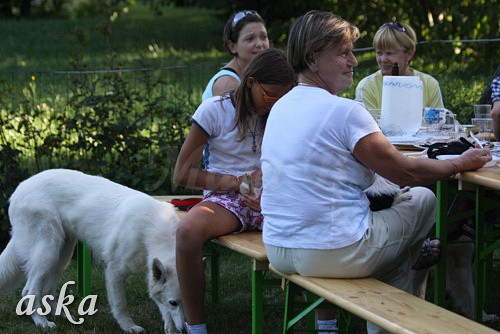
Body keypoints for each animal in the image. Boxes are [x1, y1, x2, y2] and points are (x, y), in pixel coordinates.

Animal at [0, 170, 186, 334]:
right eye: (174, 303)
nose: (185, 329)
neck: (154, 233)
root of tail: (20, 187)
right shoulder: (114, 271)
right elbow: (120, 304)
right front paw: (129, 327)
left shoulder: (150, 272)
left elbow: (161, 306)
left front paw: (171, 329)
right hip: (49, 250)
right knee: (29, 291)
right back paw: (42, 323)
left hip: (62, 255)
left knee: (47, 290)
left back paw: (63, 316)